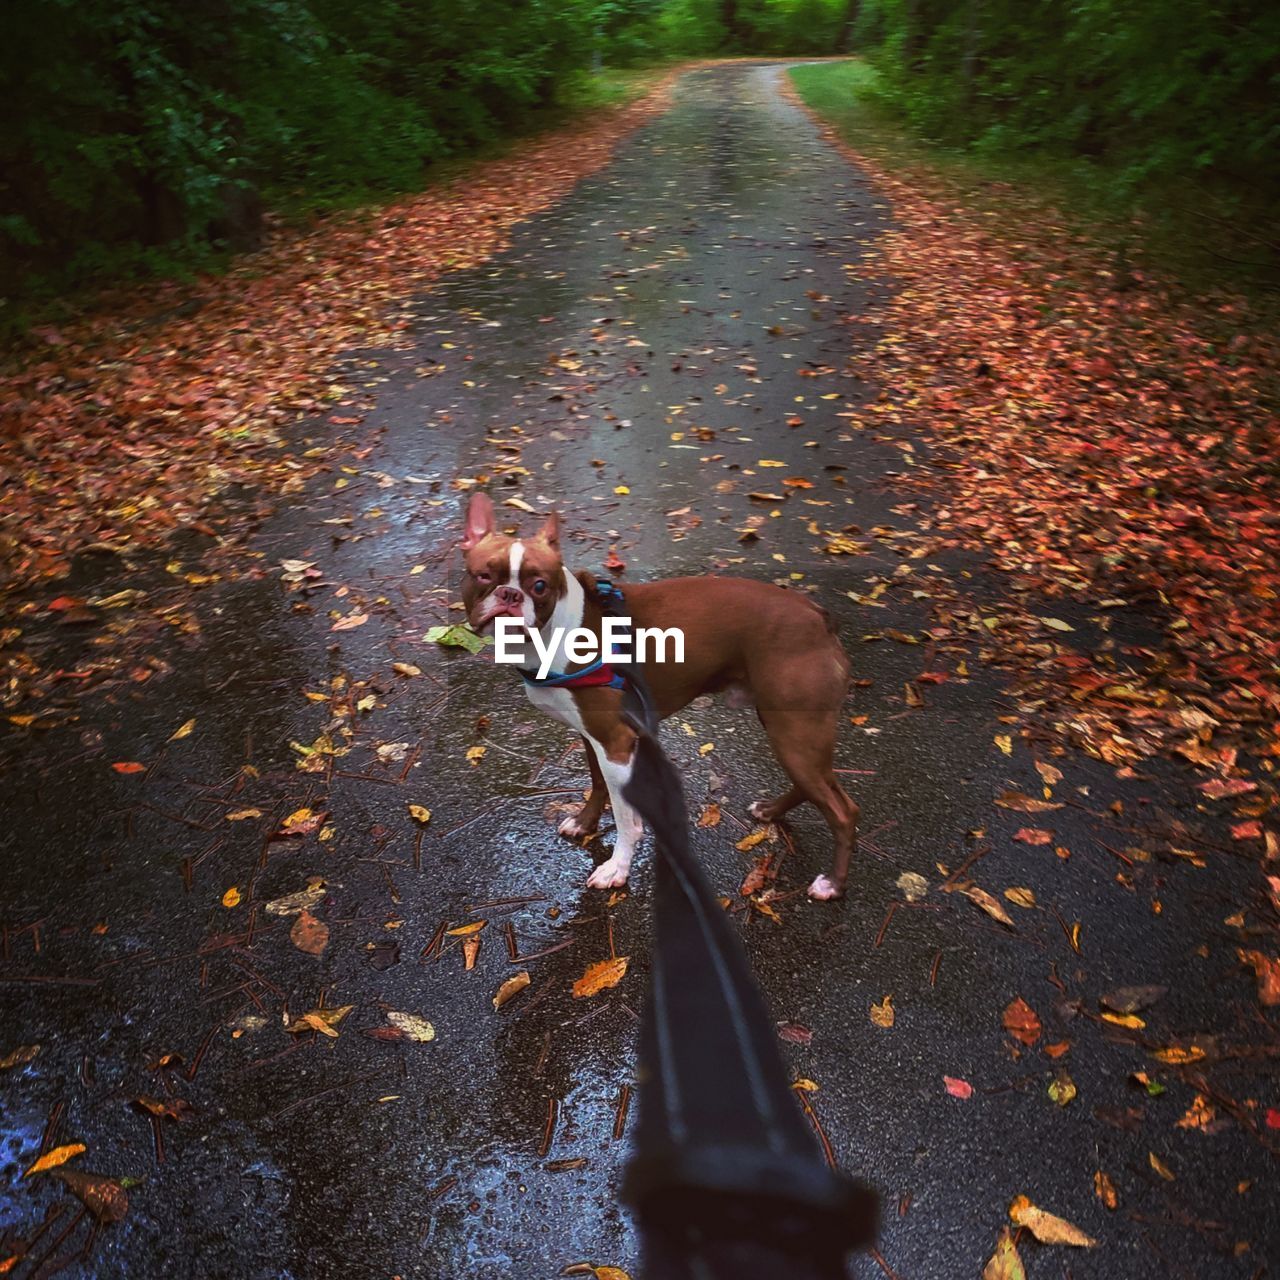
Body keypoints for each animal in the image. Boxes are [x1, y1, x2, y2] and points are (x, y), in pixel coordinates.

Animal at [460, 488, 860, 901]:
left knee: (843, 810)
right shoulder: (593, 736)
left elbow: (626, 817)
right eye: (483, 575)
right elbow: (597, 784)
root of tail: (816, 615)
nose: (509, 593)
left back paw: (833, 883)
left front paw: (617, 868)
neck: (558, 627)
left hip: (795, 731)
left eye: (539, 585)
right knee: (813, 784)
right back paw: (771, 811)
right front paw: (585, 824)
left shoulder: (616, 743)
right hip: (788, 729)